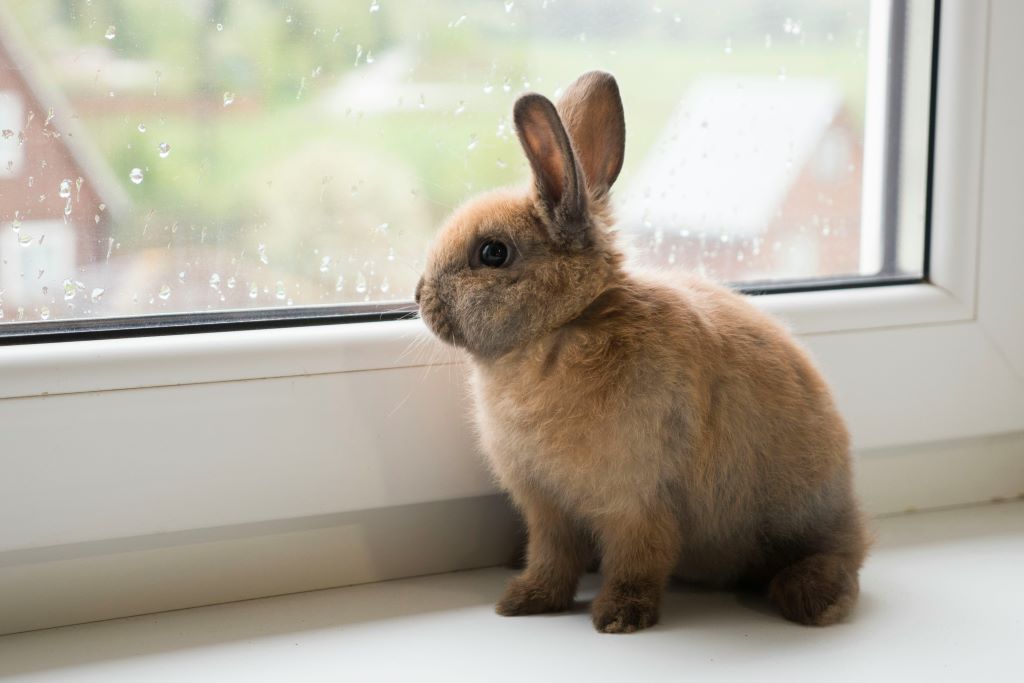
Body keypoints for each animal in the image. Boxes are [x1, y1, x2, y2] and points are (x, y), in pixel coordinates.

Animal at [413, 72, 864, 634]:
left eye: (493, 253)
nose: (418, 295)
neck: (565, 326)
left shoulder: (637, 500)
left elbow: (639, 558)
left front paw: (619, 617)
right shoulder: (548, 509)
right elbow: (551, 557)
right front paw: (524, 601)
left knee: (841, 559)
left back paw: (814, 600)